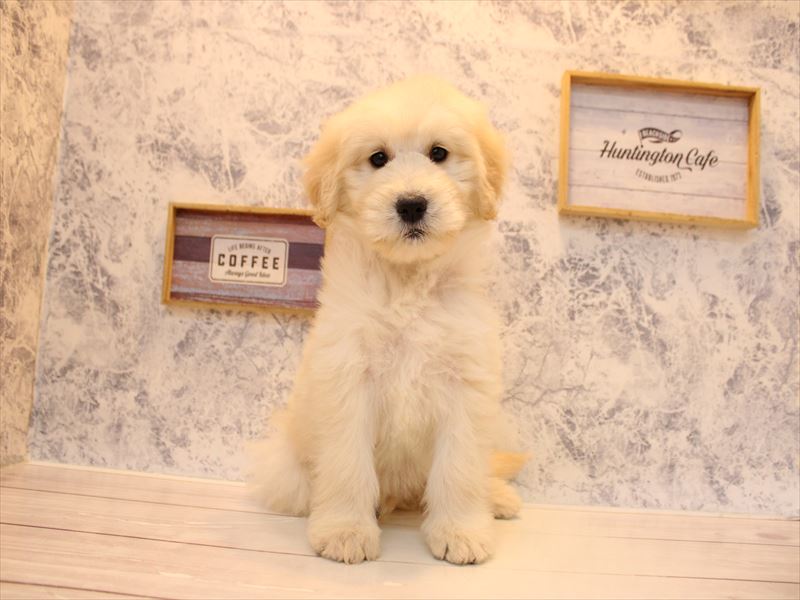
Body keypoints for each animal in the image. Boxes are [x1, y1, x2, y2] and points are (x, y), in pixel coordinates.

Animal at [250, 76, 528, 565]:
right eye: (378, 158)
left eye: (439, 153)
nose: (412, 205)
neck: (407, 282)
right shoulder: (347, 378)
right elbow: (347, 464)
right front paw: (345, 530)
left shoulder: (465, 382)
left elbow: (459, 467)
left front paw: (460, 531)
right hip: (287, 463)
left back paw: (495, 497)